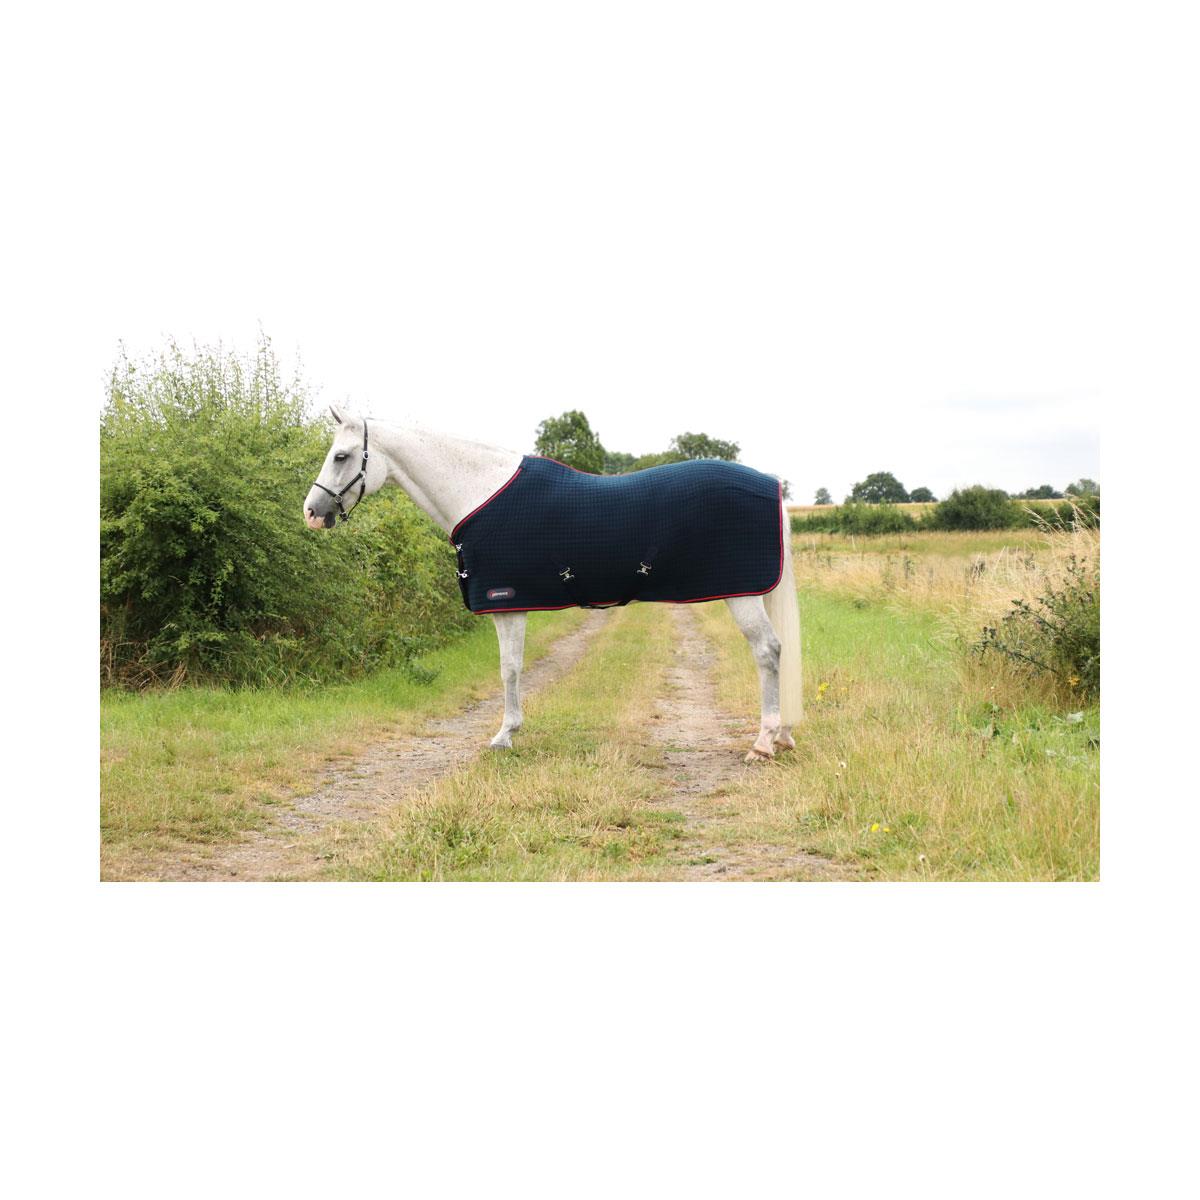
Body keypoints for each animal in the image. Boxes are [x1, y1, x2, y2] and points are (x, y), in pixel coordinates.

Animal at [303, 406, 801, 763]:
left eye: (341, 456)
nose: (311, 512)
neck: (477, 490)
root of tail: (771, 486)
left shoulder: (506, 603)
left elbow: (509, 668)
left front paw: (504, 736)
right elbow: (513, 668)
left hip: (742, 594)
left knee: (767, 652)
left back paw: (763, 743)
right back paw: (782, 738)